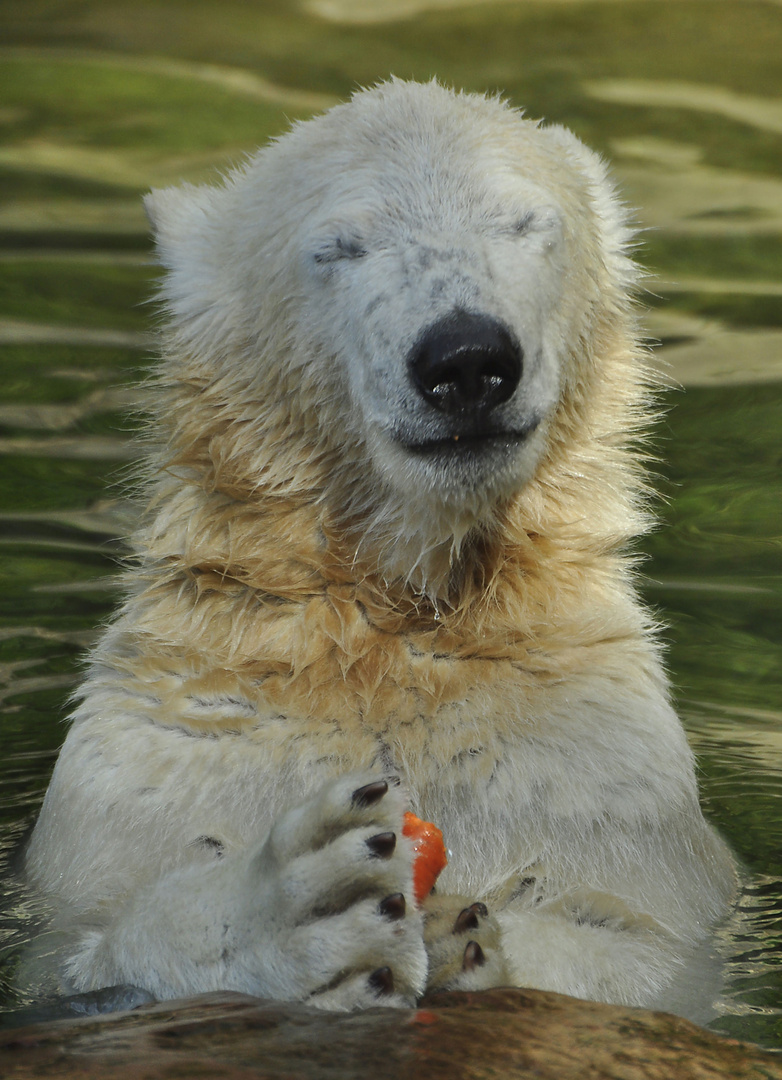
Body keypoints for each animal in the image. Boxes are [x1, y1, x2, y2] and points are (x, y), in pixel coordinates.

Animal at [24, 82, 734, 1010]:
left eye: (525, 222)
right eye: (339, 245)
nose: (466, 359)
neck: (401, 612)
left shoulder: (594, 766)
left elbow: (641, 949)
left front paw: (471, 931)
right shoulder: (160, 758)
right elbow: (92, 947)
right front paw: (307, 900)